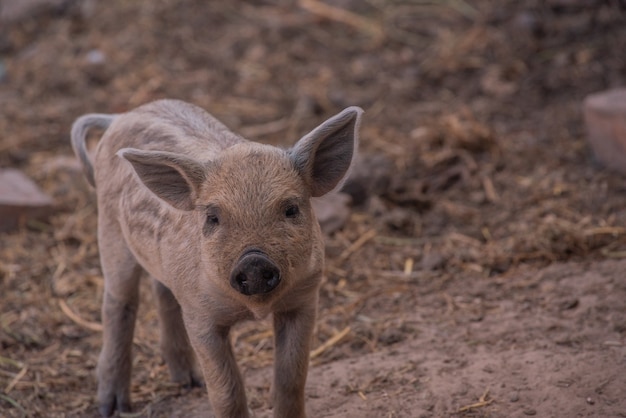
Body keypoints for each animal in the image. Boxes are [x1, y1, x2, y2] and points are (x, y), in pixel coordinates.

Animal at [69, 100, 360, 418]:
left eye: (291, 209)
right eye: (213, 217)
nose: (254, 262)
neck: (254, 309)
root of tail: (119, 117)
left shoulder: (304, 300)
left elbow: (291, 380)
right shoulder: (200, 316)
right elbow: (226, 393)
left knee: (162, 292)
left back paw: (189, 382)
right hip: (110, 233)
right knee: (119, 304)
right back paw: (113, 408)